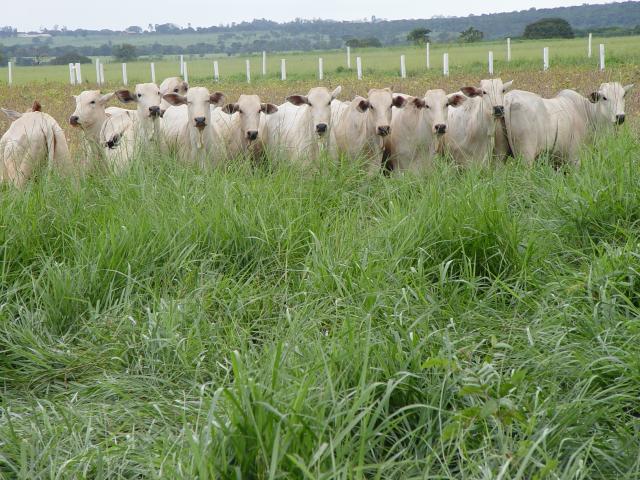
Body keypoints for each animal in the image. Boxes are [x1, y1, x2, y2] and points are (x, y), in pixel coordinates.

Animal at [504, 81, 636, 166]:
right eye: (604, 98)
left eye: (624, 95)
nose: (620, 117)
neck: (587, 112)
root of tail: (510, 99)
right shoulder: (575, 158)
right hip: (526, 157)